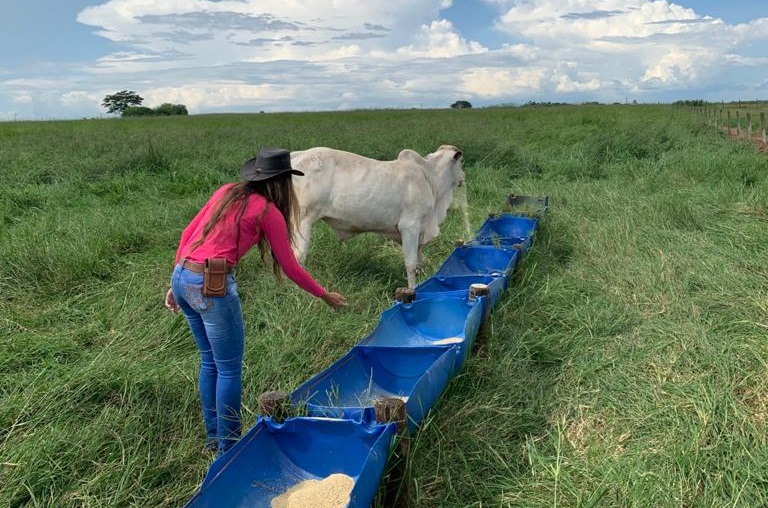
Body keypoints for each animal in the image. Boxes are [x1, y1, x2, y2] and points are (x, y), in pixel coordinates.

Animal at [292, 147, 464, 288]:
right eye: (461, 162)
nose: (463, 177)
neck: (430, 179)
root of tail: (298, 155)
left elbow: (420, 262)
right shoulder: (410, 226)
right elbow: (411, 264)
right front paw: (412, 290)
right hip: (303, 220)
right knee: (298, 257)